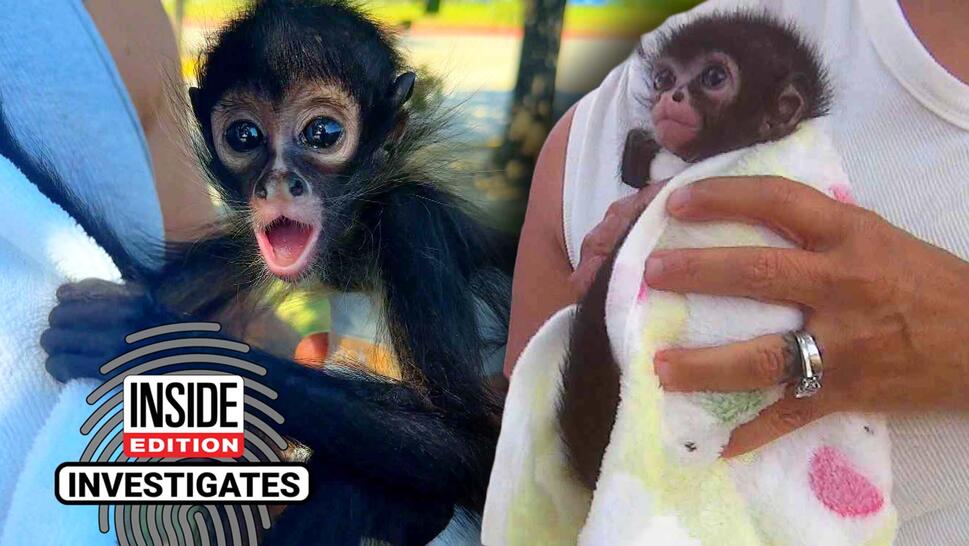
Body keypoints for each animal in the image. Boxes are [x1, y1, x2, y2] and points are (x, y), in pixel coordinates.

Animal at [32, 0, 511, 544]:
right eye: (245, 136)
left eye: (322, 134)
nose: (279, 182)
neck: (350, 247)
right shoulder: (247, 234)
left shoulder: (412, 219)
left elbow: (471, 448)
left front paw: (143, 339)